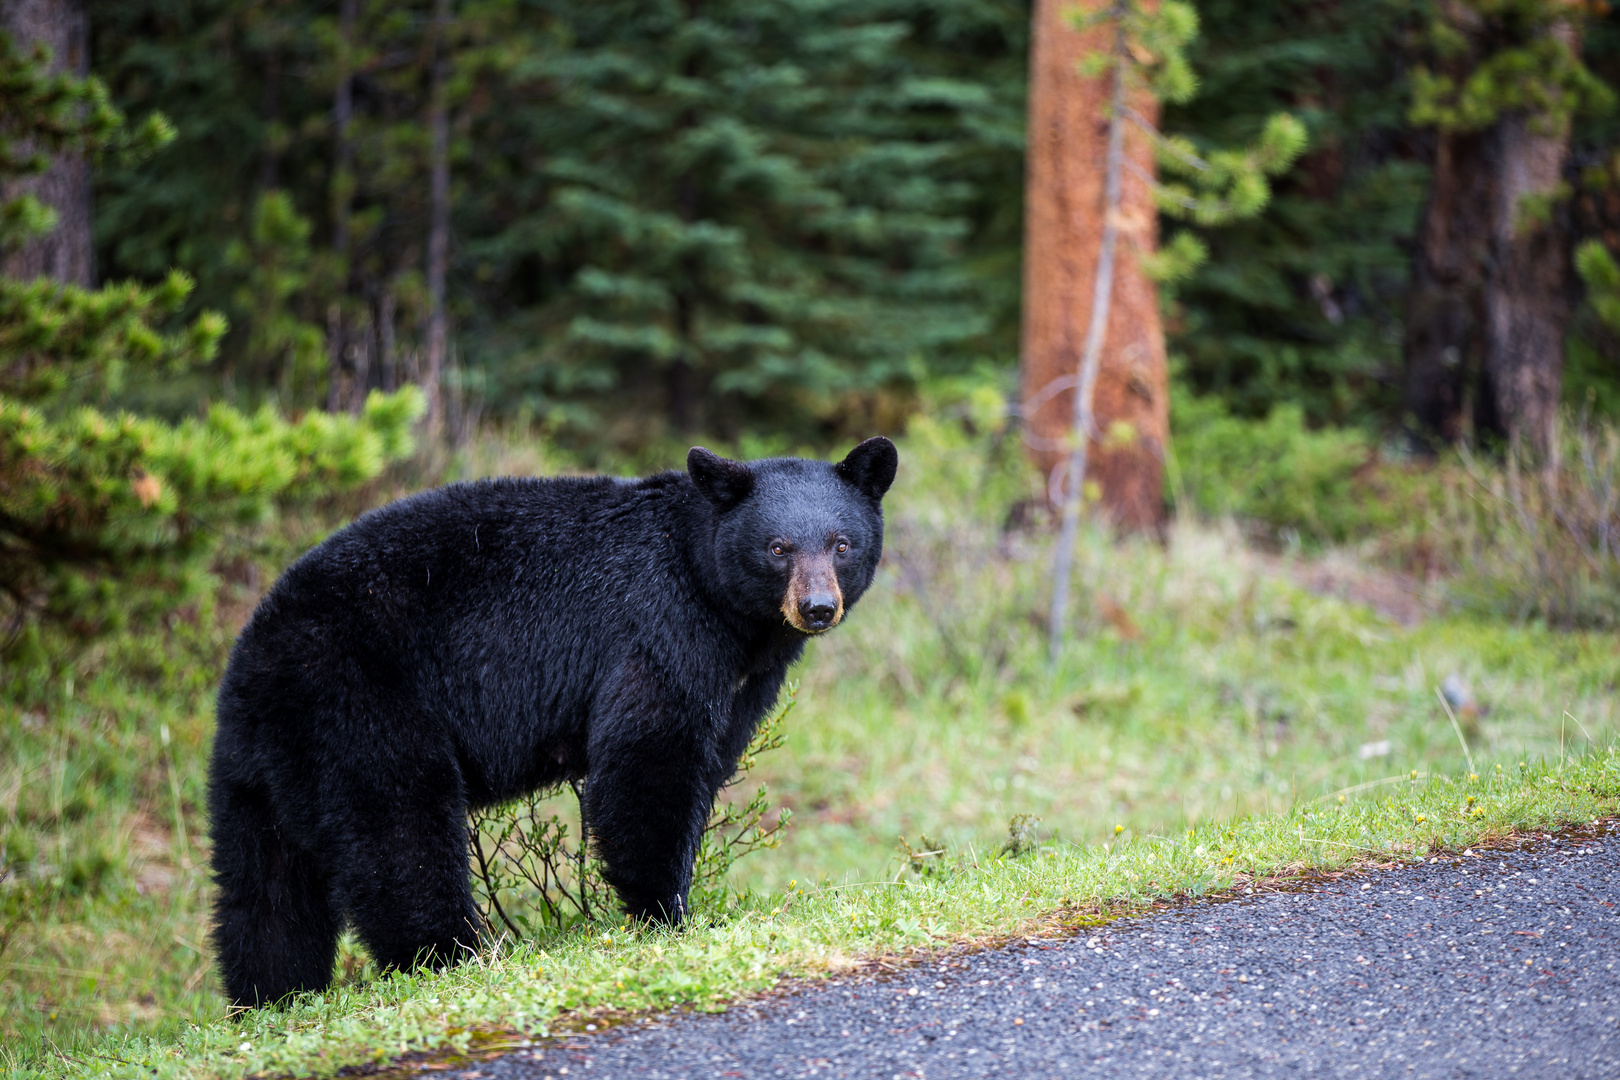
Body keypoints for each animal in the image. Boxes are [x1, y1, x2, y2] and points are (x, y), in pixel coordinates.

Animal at [205, 433, 900, 1010]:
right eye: (777, 548)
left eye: (842, 543)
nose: (817, 608)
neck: (714, 591)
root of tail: (252, 663)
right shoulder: (660, 626)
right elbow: (649, 758)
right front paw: (667, 915)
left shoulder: (745, 676)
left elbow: (710, 756)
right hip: (360, 706)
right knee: (398, 834)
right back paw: (453, 957)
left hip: (261, 769)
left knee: (264, 892)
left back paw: (273, 998)